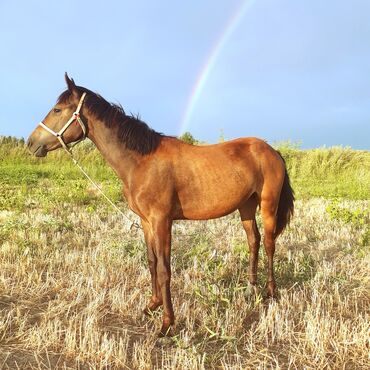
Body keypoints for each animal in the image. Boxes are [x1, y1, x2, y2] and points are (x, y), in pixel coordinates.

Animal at [26, 73, 294, 336]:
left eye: (57, 109)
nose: (30, 143)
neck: (142, 160)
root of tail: (272, 150)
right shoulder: (146, 222)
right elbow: (152, 262)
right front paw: (151, 305)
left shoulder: (162, 220)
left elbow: (165, 269)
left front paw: (166, 323)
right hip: (245, 206)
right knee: (253, 241)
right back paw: (250, 288)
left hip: (268, 205)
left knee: (269, 243)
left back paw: (271, 291)